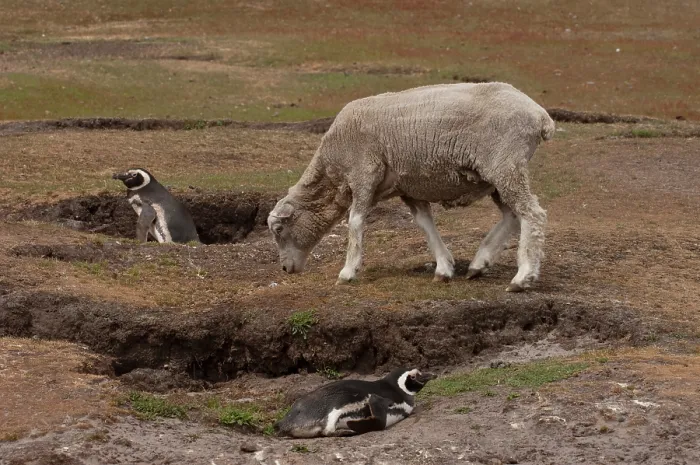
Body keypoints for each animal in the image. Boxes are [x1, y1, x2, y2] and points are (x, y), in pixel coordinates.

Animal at [267, 82, 555, 292]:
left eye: (280, 229)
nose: (285, 269)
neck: (332, 171)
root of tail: (540, 115)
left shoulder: (364, 174)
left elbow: (355, 223)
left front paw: (348, 272)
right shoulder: (408, 188)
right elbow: (425, 224)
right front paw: (444, 268)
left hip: (505, 165)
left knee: (532, 214)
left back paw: (523, 277)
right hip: (497, 175)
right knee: (512, 215)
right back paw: (479, 263)